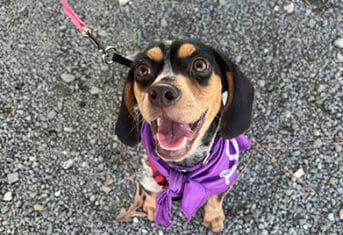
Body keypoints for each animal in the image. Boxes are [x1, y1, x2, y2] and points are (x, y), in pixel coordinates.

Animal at [114, 39, 254, 231]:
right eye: (142, 69)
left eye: (200, 65)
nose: (161, 92)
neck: (183, 168)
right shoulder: (146, 176)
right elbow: (151, 192)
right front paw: (153, 206)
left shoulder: (223, 179)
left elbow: (215, 198)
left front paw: (214, 216)